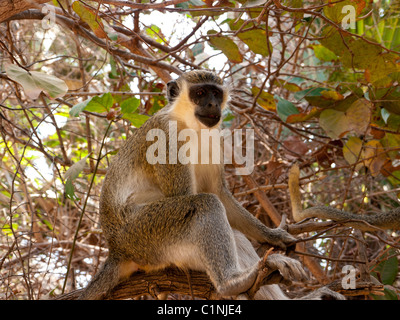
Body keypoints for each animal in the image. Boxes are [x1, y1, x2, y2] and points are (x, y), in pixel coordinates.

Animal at [79, 70, 344, 300]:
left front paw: (274, 235)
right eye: (199, 93)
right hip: (143, 236)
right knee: (203, 205)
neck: (190, 124)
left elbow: (220, 193)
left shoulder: (215, 138)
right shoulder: (166, 136)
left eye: (215, 94)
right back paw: (232, 282)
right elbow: (188, 195)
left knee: (231, 230)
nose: (211, 106)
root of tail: (116, 249)